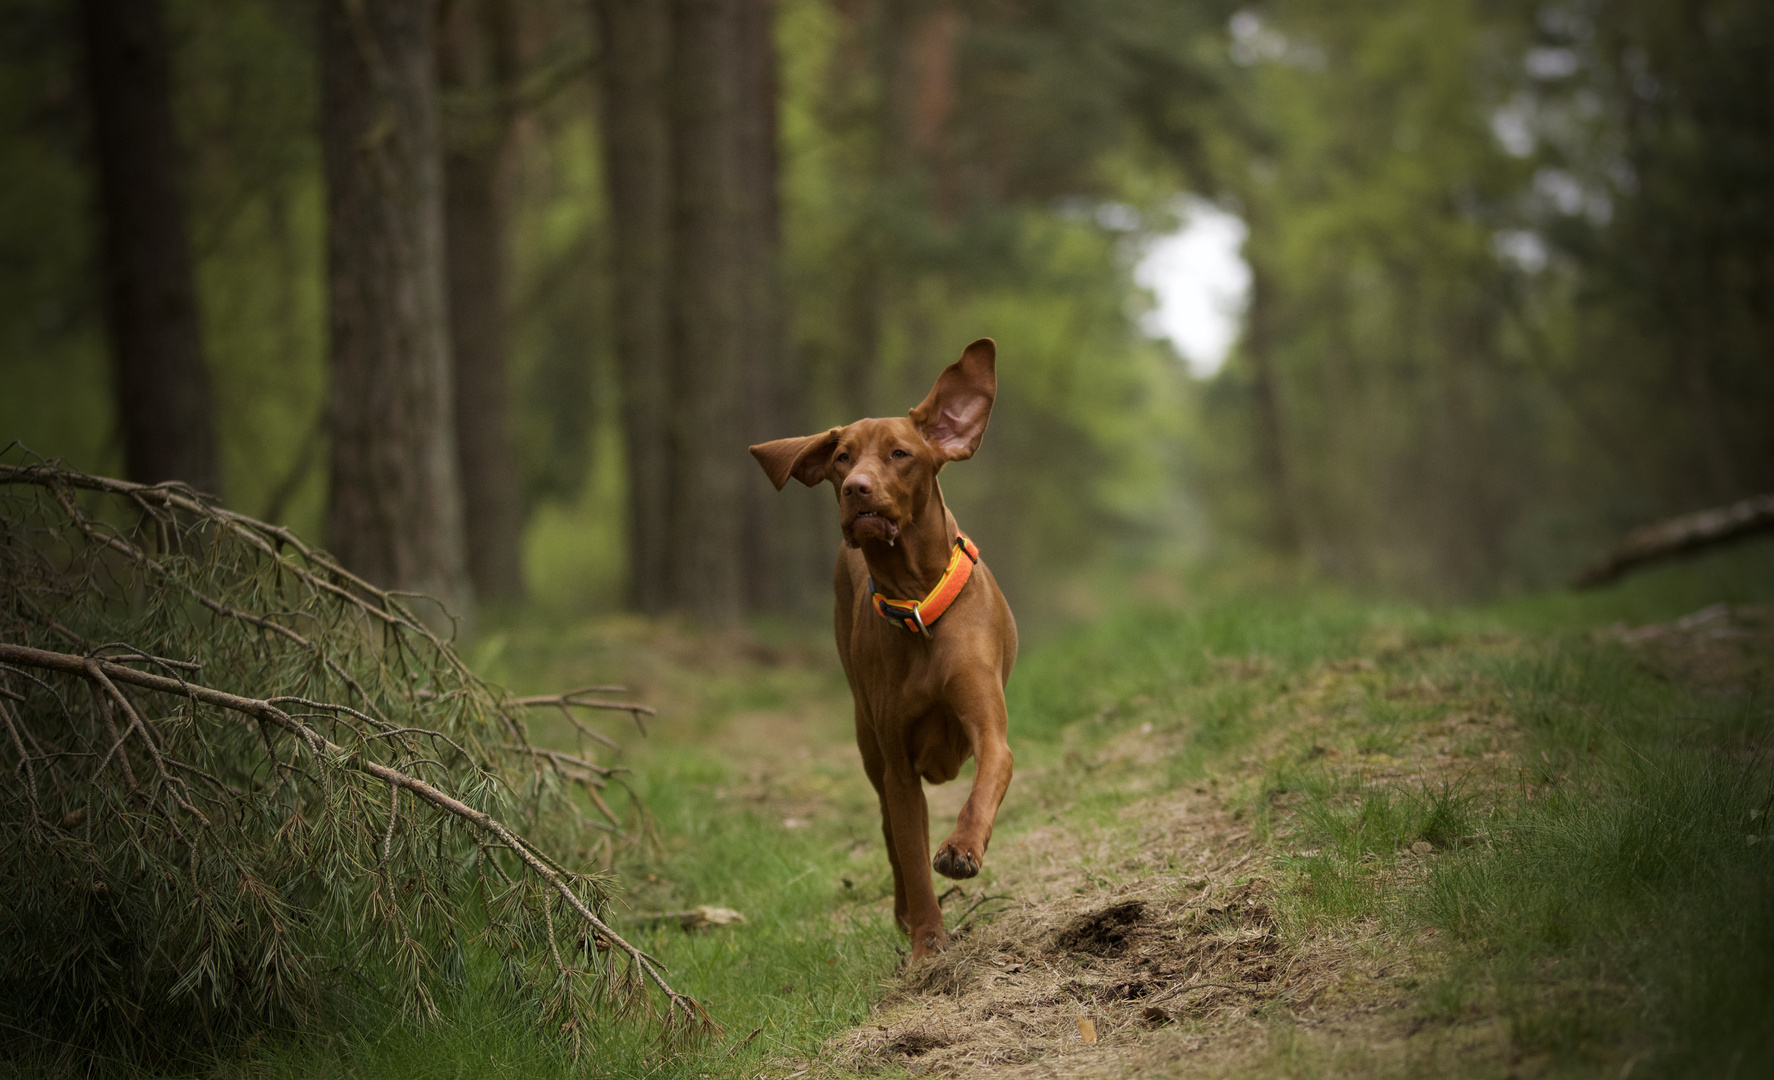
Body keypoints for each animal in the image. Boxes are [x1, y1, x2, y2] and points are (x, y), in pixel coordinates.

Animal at [752, 338, 1021, 957]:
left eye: (900, 454)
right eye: (841, 458)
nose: (857, 489)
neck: (917, 606)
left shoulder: (988, 729)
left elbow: (985, 782)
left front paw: (962, 848)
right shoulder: (898, 767)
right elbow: (913, 859)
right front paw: (927, 942)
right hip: (868, 741)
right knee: (892, 837)